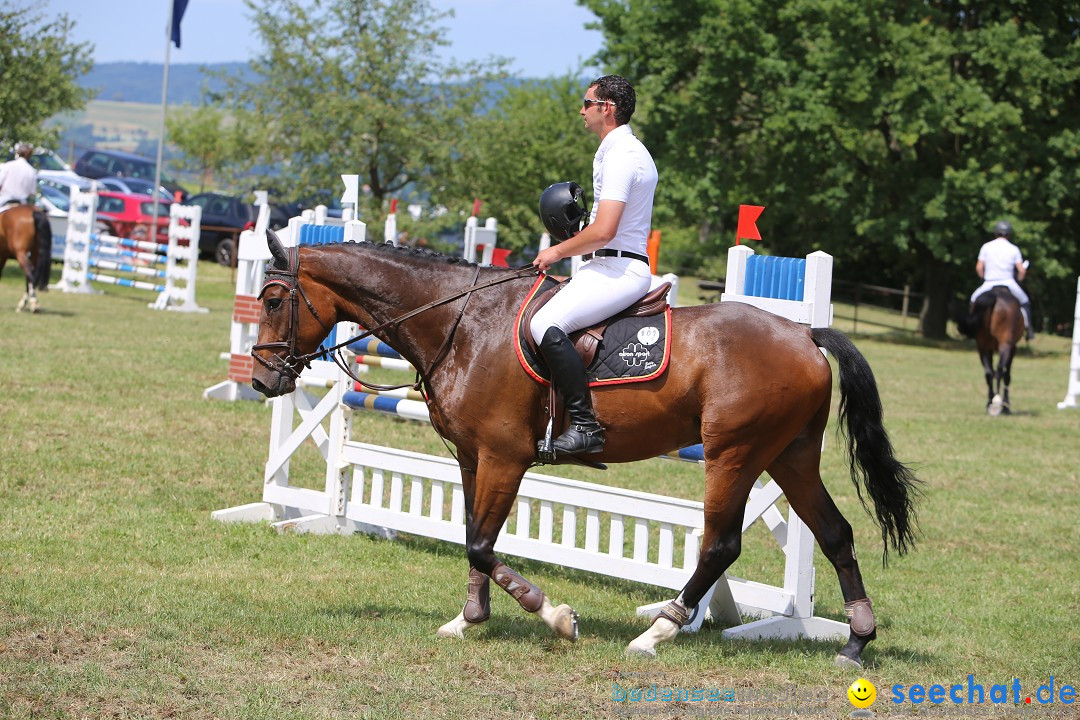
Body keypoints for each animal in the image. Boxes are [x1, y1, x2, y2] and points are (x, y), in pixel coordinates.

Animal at [250, 234, 920, 669]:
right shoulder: (472, 456)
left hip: (734, 454)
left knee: (721, 544)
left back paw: (658, 631)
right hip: (789, 456)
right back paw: (855, 642)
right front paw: (469, 620)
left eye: (275, 301)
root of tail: (804, 332)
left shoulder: (504, 456)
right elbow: (472, 537)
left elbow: (480, 543)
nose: (260, 380)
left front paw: (552, 615)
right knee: (834, 534)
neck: (463, 322)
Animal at [959, 284, 1023, 414]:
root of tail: (995, 296)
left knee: (989, 373)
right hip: (1005, 345)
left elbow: (991, 372)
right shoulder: (1012, 348)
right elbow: (1007, 375)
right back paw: (998, 401)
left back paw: (990, 402)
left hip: (982, 346)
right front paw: (1006, 404)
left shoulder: (989, 349)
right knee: (1000, 370)